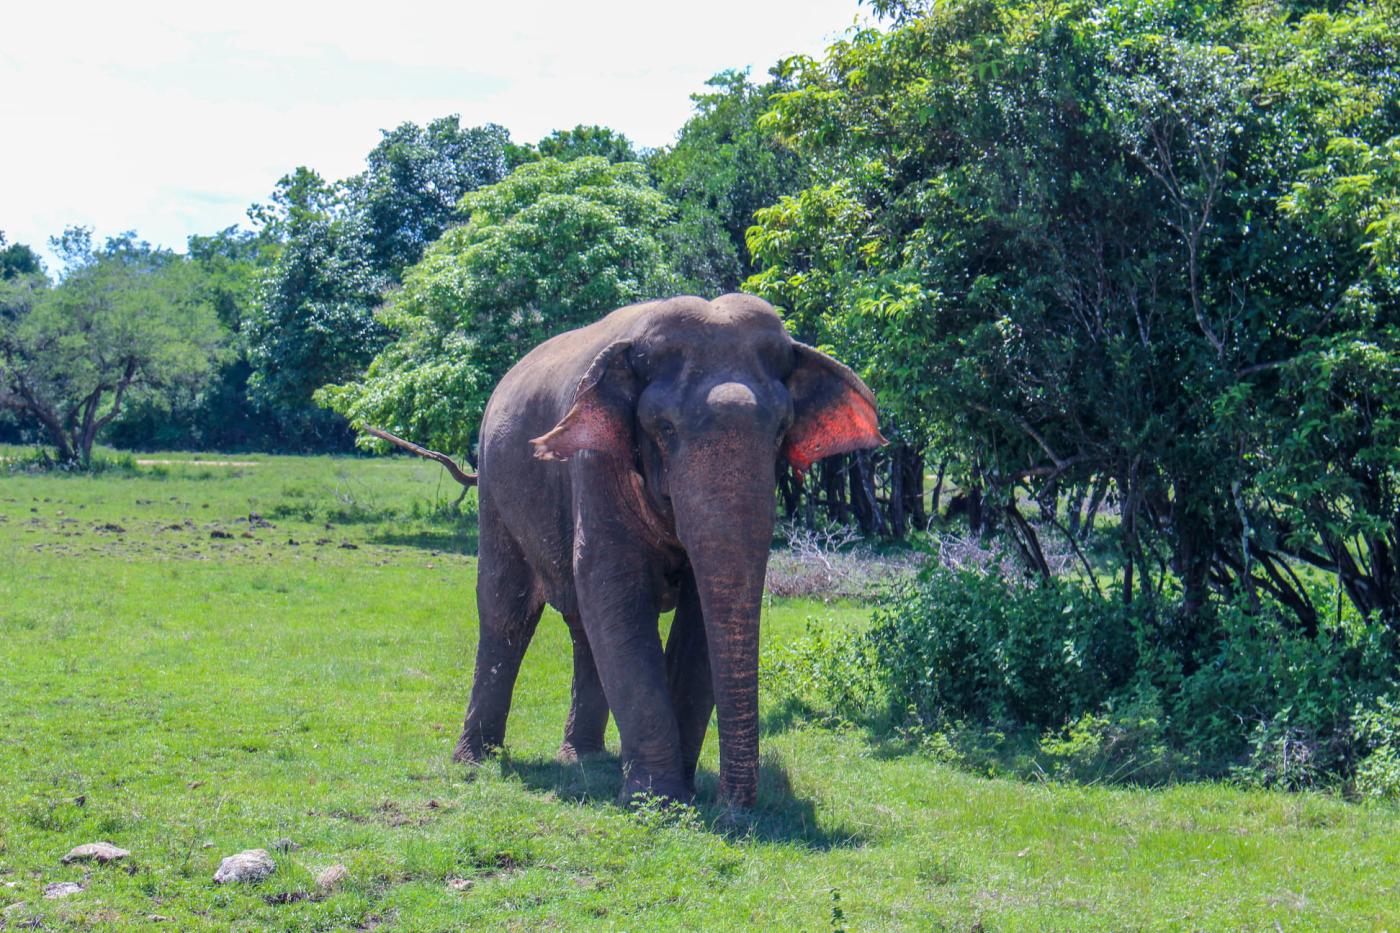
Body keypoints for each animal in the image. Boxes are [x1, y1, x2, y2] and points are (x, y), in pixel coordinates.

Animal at [452, 293, 884, 809]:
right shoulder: (595, 464)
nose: (731, 811)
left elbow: (695, 615)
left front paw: (679, 793)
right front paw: (658, 799)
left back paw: (584, 759)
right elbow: (617, 593)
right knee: (506, 610)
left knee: (580, 626)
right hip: (494, 486)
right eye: (663, 428)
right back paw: (474, 762)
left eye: (782, 429)